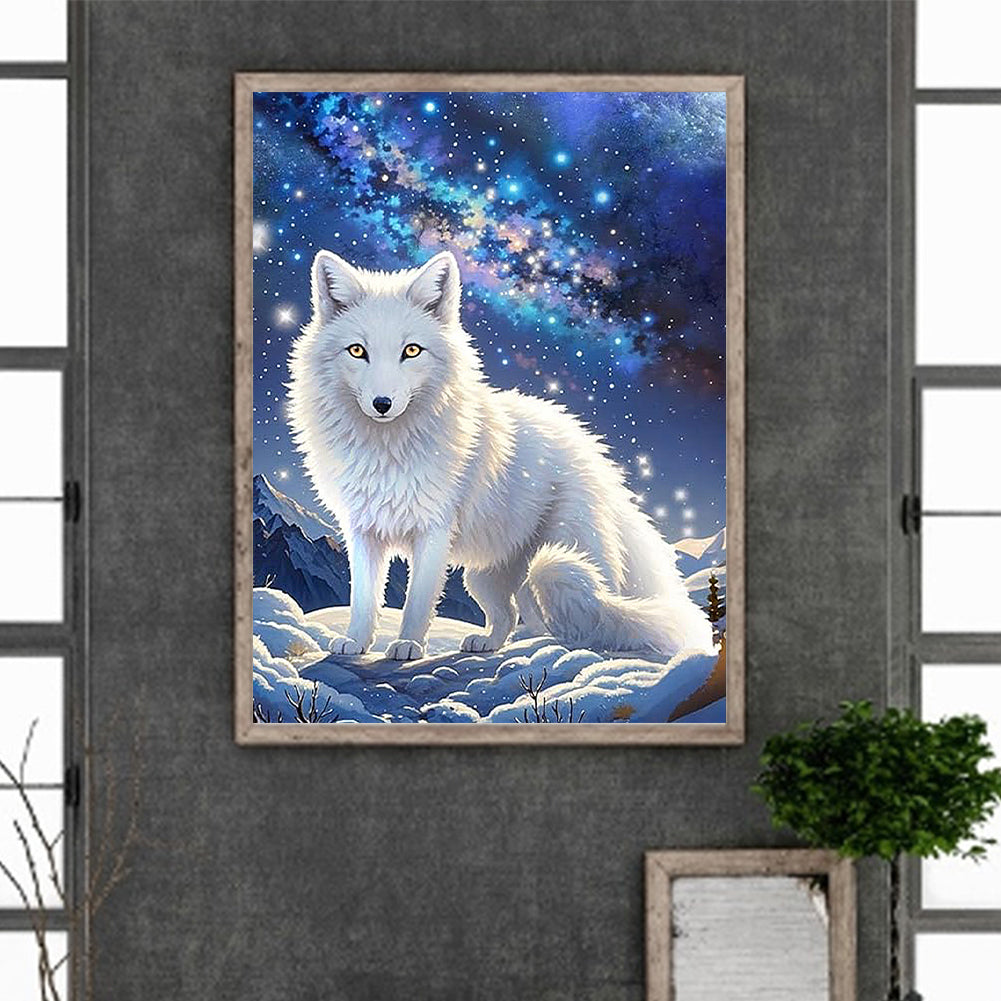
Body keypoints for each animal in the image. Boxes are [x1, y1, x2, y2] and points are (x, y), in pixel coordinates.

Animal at [286, 250, 713, 662]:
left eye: (412, 351)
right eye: (357, 351)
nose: (382, 404)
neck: (387, 450)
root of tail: (597, 454)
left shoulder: (434, 530)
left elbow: (417, 600)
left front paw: (407, 645)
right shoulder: (362, 530)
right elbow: (362, 597)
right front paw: (356, 641)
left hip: (562, 557)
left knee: (589, 618)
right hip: (486, 576)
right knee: (513, 616)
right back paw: (491, 642)